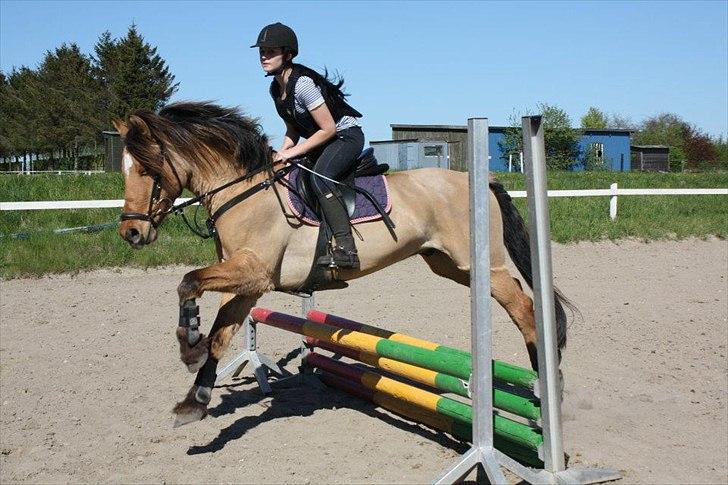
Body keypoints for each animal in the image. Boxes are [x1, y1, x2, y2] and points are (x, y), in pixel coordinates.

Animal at [112, 100, 576, 426]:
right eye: (124, 169)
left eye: (148, 171)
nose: (130, 233)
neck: (242, 191)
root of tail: (480, 179)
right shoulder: (248, 285)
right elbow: (221, 333)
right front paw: (194, 398)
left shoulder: (252, 273)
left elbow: (189, 283)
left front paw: (188, 345)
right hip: (447, 264)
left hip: (484, 267)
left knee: (525, 310)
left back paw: (546, 387)